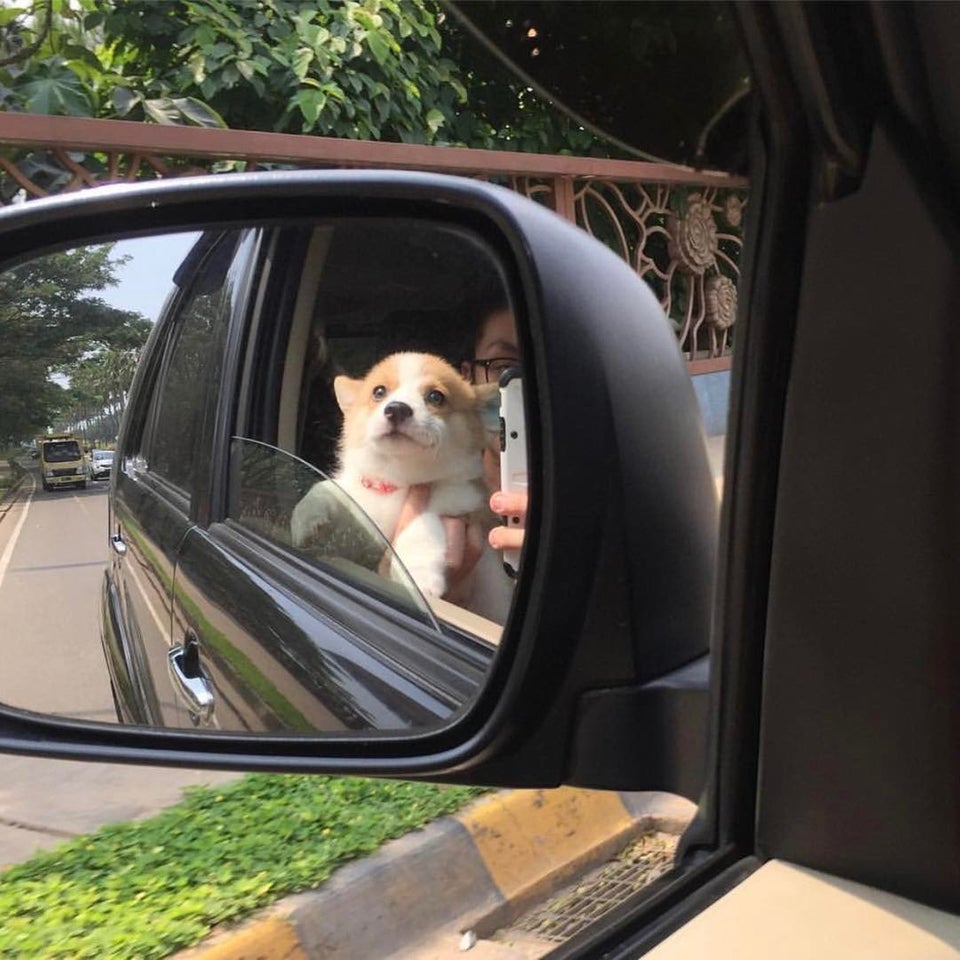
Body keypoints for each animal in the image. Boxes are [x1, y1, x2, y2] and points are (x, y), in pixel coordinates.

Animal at [290, 352, 510, 624]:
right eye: (379, 392)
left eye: (436, 396)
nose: (396, 409)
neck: (399, 480)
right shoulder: (363, 519)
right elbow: (326, 489)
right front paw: (304, 518)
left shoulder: (463, 503)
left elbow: (422, 522)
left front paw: (417, 573)